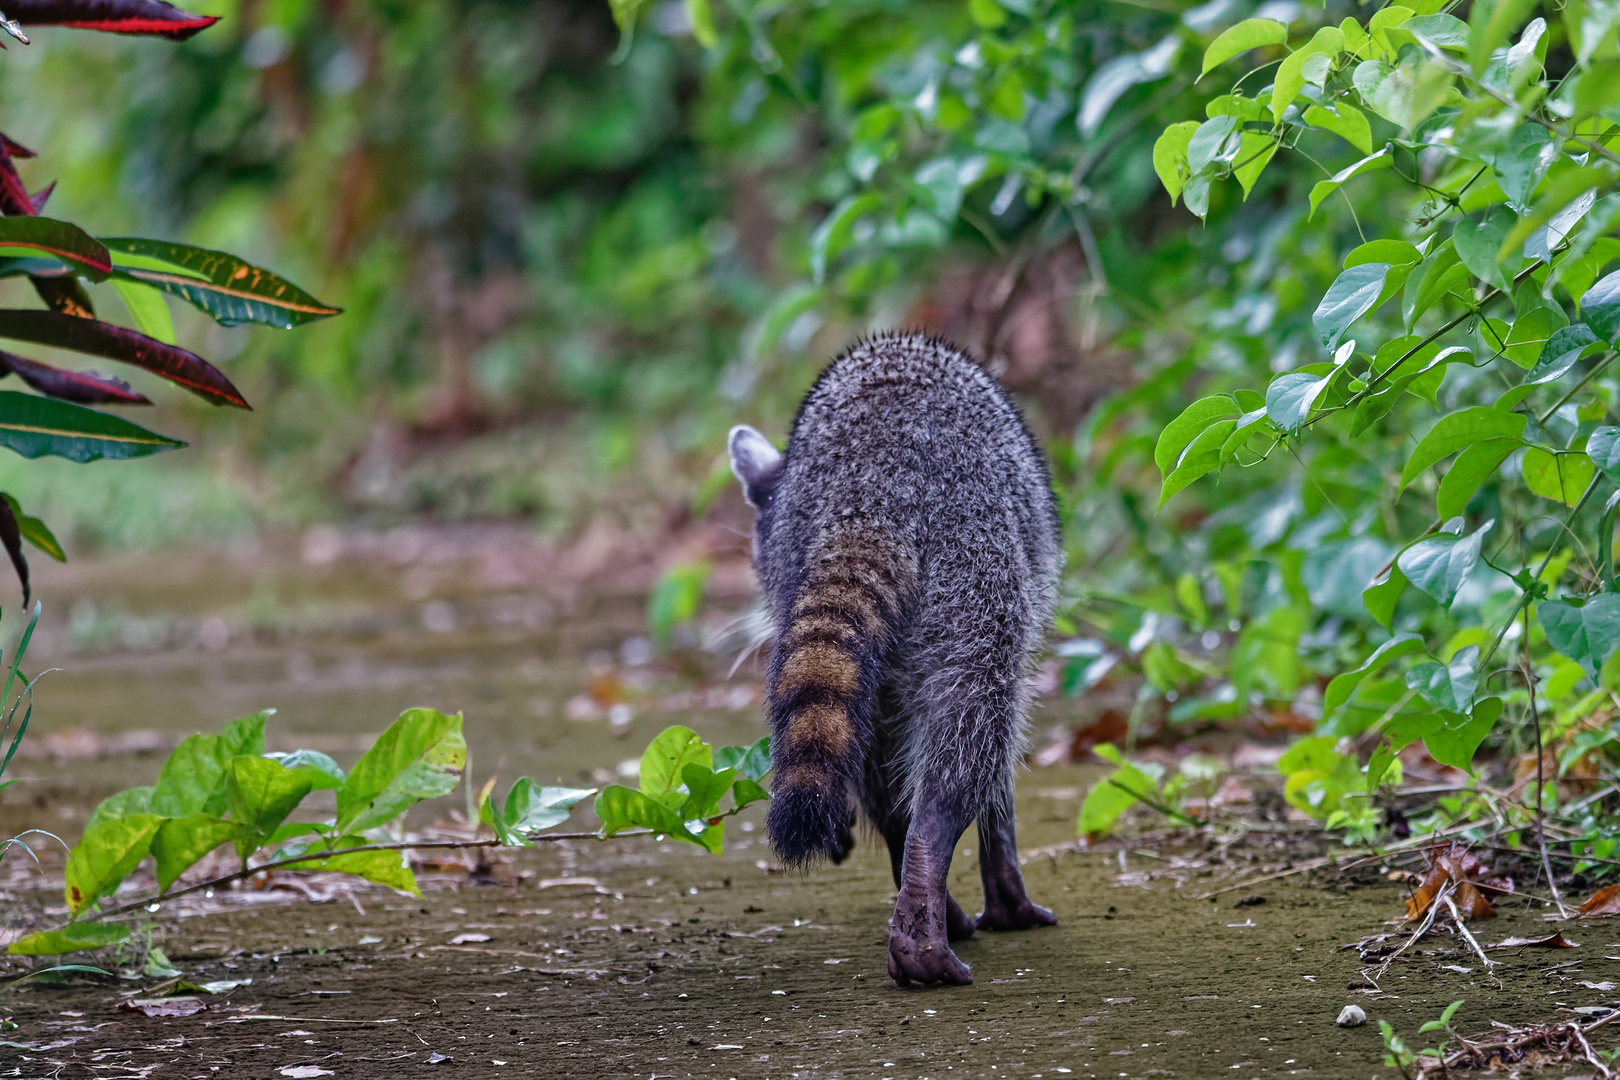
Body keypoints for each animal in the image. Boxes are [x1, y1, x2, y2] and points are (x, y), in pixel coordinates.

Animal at [732, 330, 1062, 990]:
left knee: (867, 744)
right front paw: (1005, 883)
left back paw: (907, 855)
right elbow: (996, 769)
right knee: (974, 721)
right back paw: (930, 852)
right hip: (977, 566)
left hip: (819, 567)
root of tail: (872, 488)